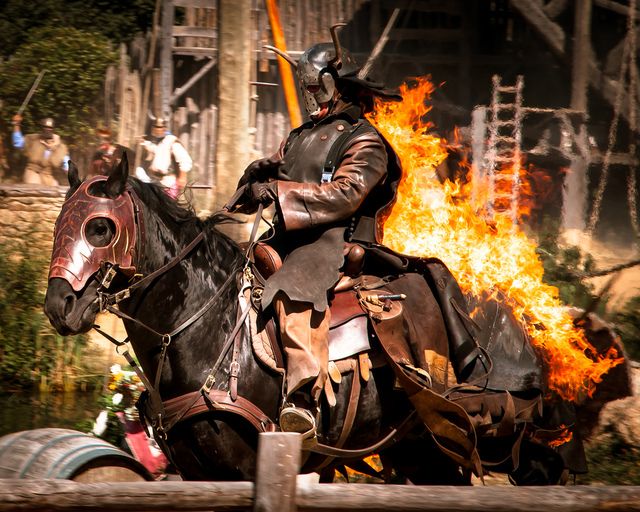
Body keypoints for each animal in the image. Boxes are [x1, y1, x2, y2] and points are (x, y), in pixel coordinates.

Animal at [42, 156, 612, 484]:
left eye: (99, 228)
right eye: (58, 225)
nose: (59, 307)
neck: (205, 329)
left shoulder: (241, 466)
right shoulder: (195, 468)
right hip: (427, 450)